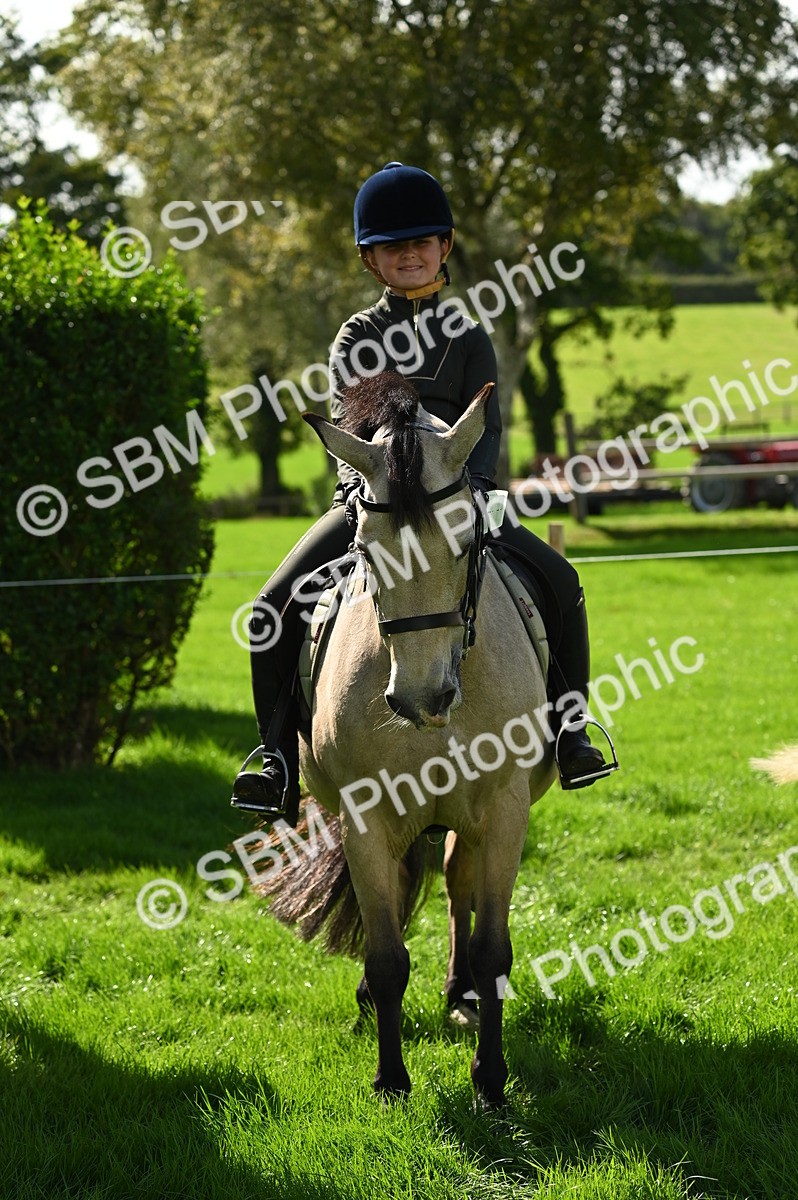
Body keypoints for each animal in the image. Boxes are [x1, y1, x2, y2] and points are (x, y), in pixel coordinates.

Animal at [261, 371, 556, 1107]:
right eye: (366, 552)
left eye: (467, 542)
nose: (423, 698)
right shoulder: (365, 816)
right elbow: (389, 953)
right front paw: (391, 1079)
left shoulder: (504, 809)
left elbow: (492, 947)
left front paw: (490, 1081)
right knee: (395, 900)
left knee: (457, 887)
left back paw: (462, 997)